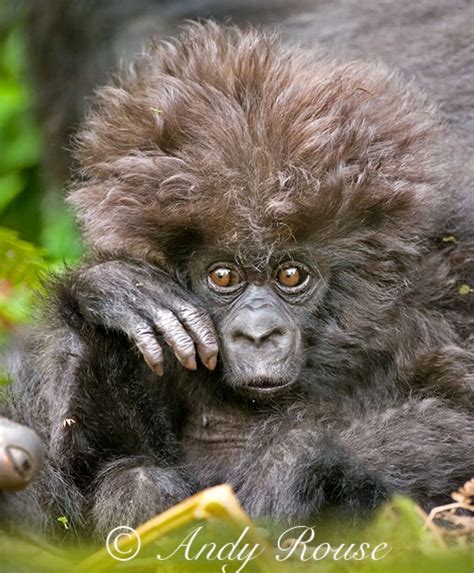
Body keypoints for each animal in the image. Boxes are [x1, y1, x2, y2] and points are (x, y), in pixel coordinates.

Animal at [3, 22, 474, 540]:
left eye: (290, 274)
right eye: (223, 275)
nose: (258, 334)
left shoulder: (437, 293)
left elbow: (455, 420)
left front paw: (289, 461)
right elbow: (79, 472)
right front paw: (109, 290)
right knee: (136, 476)